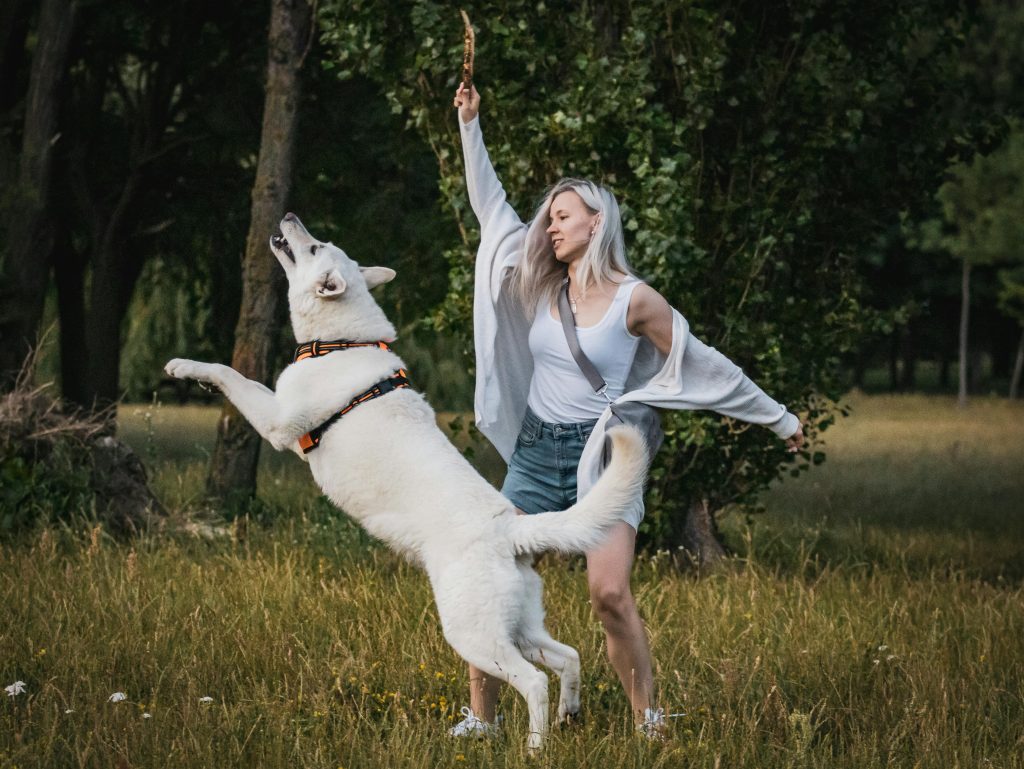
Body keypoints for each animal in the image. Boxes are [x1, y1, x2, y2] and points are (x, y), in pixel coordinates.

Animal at [166, 211, 647, 753]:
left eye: (314, 248)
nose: (288, 217)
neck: (339, 342)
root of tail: (509, 529)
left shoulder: (276, 422)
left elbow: (234, 375)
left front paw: (187, 367)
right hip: (518, 626)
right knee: (568, 657)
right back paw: (570, 714)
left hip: (473, 633)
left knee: (534, 681)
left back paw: (535, 746)